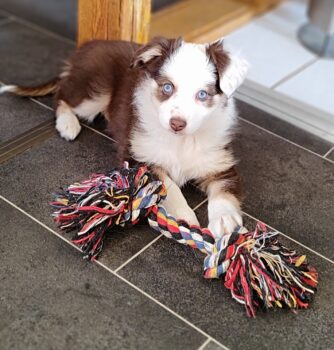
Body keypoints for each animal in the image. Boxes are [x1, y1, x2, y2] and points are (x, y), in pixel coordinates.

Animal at [0, 37, 248, 238]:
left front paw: (226, 221)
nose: (177, 124)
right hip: (96, 92)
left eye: (203, 95)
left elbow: (225, 192)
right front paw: (181, 215)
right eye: (167, 87)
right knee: (61, 95)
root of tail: (88, 46)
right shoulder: (139, 156)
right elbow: (168, 184)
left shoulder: (220, 163)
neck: (181, 141)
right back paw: (67, 124)